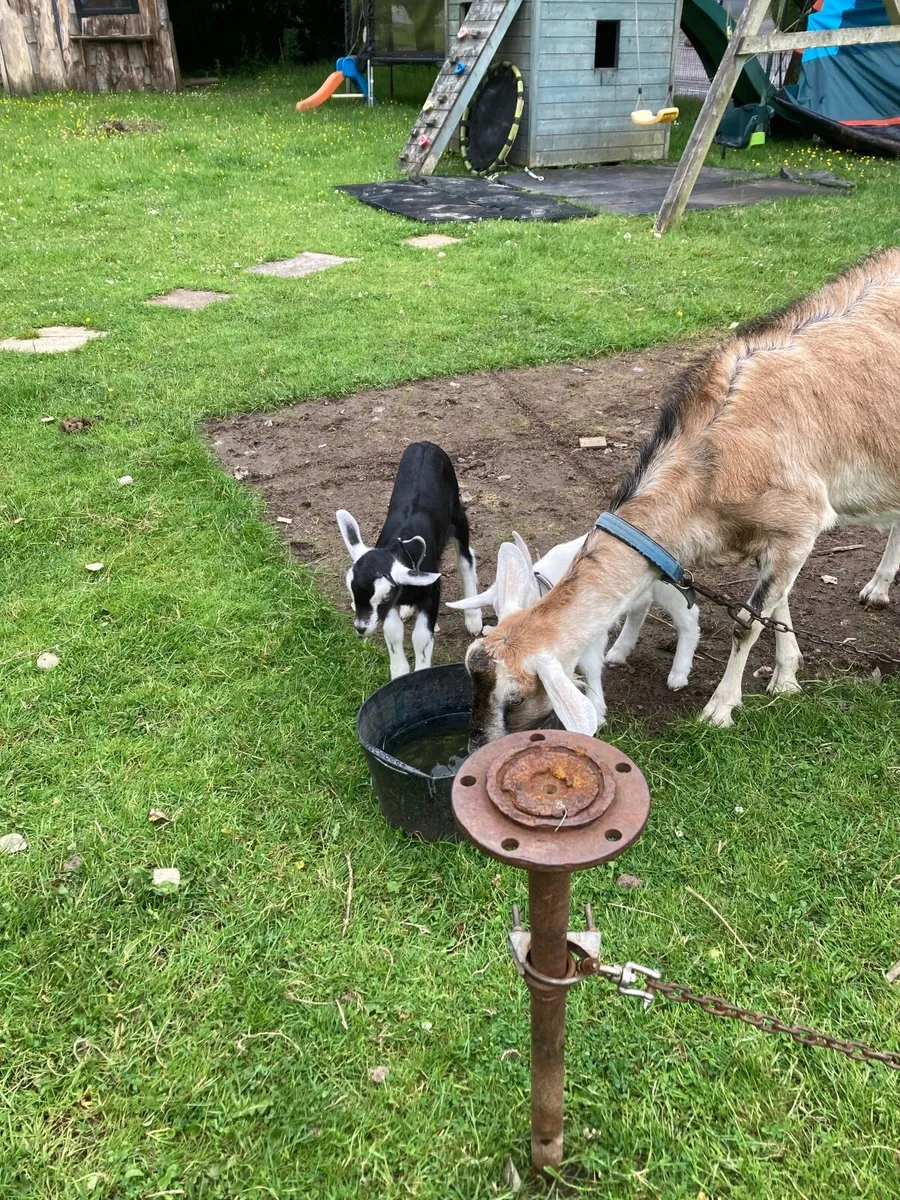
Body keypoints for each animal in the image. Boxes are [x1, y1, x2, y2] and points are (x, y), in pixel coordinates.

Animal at [337, 440, 482, 679]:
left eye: (383, 597)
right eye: (352, 592)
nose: (361, 627)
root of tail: (424, 444)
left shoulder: (432, 592)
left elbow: (421, 638)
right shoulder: (394, 603)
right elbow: (393, 632)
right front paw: (399, 672)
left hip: (457, 514)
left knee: (466, 558)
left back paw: (473, 617)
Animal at [446, 531, 700, 722]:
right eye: (498, 613)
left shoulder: (591, 630)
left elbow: (590, 665)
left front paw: (597, 710)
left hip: (669, 588)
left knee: (689, 618)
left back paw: (678, 674)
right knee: (640, 609)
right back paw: (619, 651)